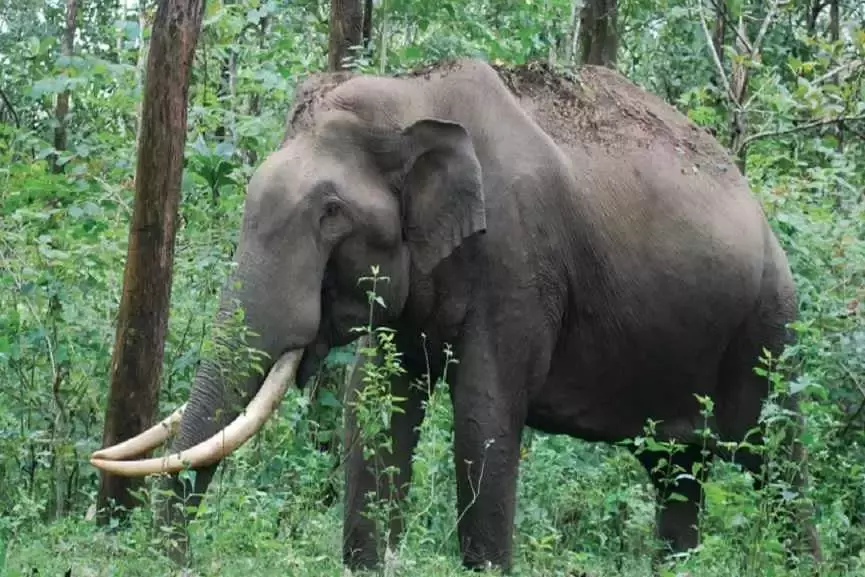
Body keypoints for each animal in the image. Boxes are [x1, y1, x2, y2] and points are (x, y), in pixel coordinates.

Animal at [91, 59, 820, 572]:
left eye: (331, 215)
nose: (172, 560)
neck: (413, 96)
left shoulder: (520, 258)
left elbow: (484, 416)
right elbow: (375, 407)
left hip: (770, 329)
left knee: (781, 466)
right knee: (676, 474)